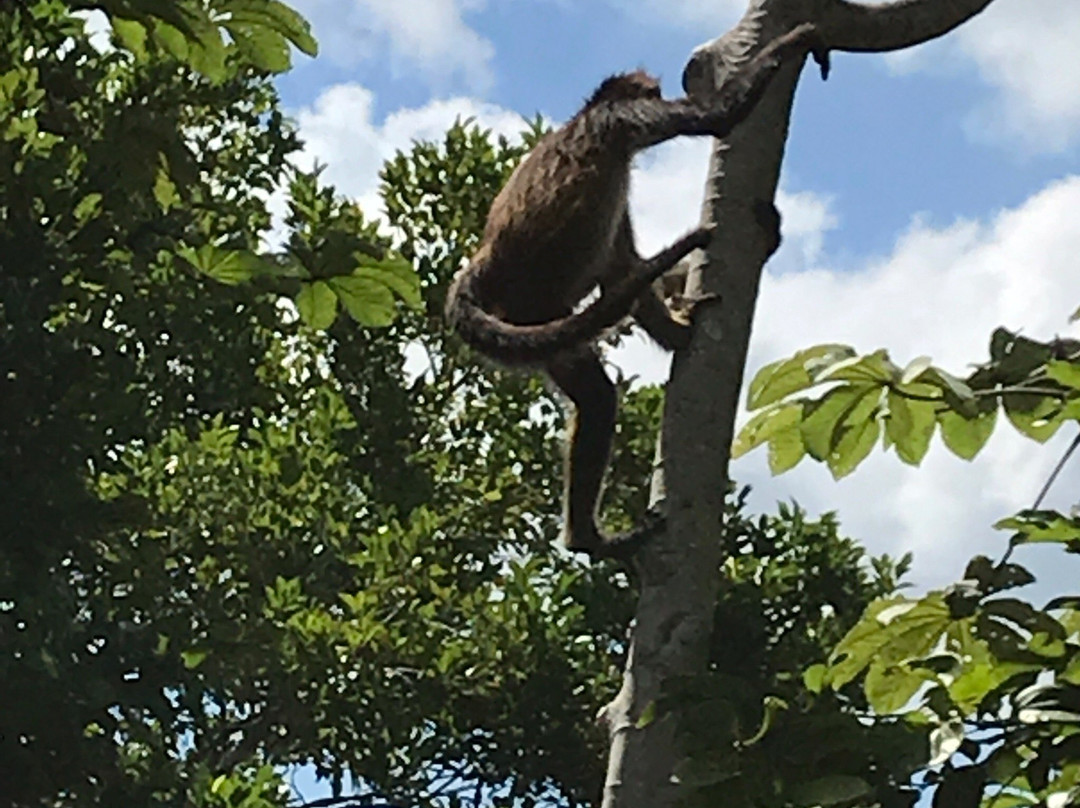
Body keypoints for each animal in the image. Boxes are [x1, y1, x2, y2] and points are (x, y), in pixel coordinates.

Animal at [442, 23, 820, 557]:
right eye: (653, 93)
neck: (585, 114)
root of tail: (478, 272)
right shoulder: (621, 119)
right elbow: (716, 117)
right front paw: (799, 40)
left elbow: (621, 270)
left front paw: (680, 332)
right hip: (530, 309)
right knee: (599, 396)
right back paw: (588, 538)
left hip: (537, 321)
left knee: (595, 397)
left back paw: (583, 537)